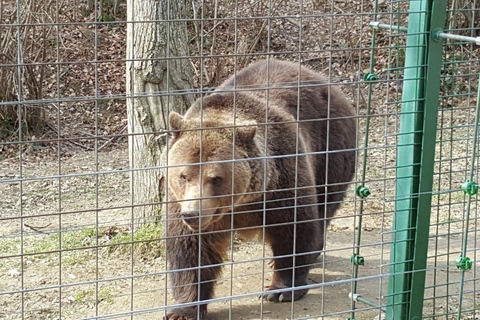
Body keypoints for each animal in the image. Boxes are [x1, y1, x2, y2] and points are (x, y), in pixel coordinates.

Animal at [165, 58, 356, 318]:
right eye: (183, 176)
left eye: (216, 178)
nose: (192, 214)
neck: (239, 204)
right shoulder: (182, 204)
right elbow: (191, 250)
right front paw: (184, 309)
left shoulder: (280, 180)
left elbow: (294, 229)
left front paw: (280, 290)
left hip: (331, 151)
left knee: (325, 206)